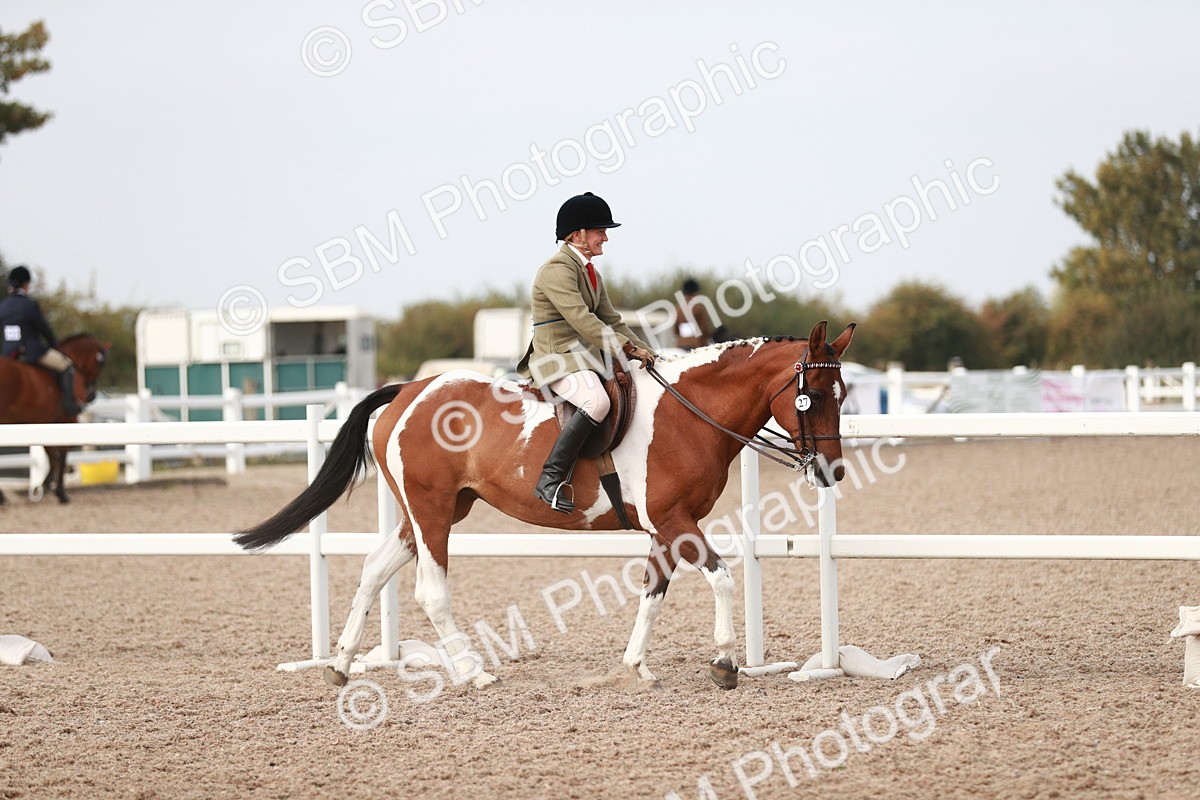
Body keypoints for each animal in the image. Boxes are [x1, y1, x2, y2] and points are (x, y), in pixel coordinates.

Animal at [0, 333, 111, 504]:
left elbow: (51, 453)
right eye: (101, 364)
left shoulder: (46, 422)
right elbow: (62, 452)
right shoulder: (68, 419)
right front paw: (60, 492)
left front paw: (44, 485)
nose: (91, 396)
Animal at [236, 320, 855, 690]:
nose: (833, 471)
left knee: (372, 570)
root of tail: (410, 390)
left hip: (435, 512)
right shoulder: (677, 522)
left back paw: (341, 664)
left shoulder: (665, 528)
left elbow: (652, 594)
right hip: (432, 512)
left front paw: (634, 666)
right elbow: (723, 577)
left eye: (844, 394)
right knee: (429, 590)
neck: (688, 413)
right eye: (812, 396)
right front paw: (725, 662)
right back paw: (471, 672)